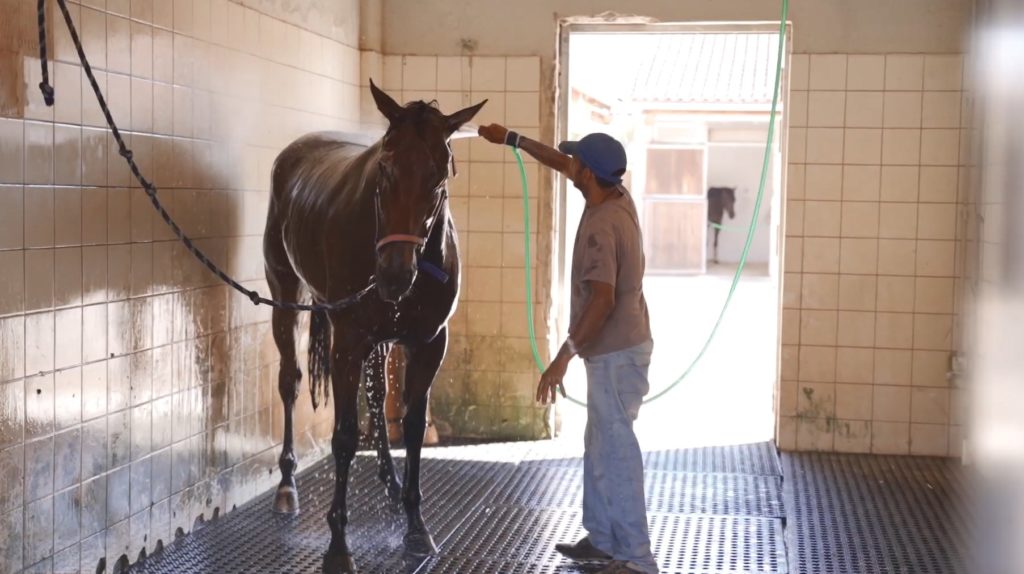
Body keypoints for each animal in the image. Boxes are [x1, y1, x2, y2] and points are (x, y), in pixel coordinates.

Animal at [264, 78, 487, 568]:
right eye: (384, 168)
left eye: (439, 177)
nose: (393, 275)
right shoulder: (347, 342)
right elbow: (345, 436)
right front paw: (337, 546)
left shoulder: (428, 343)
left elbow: (413, 425)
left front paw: (416, 527)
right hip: (285, 296)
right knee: (289, 380)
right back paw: (287, 484)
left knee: (378, 397)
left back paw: (390, 482)